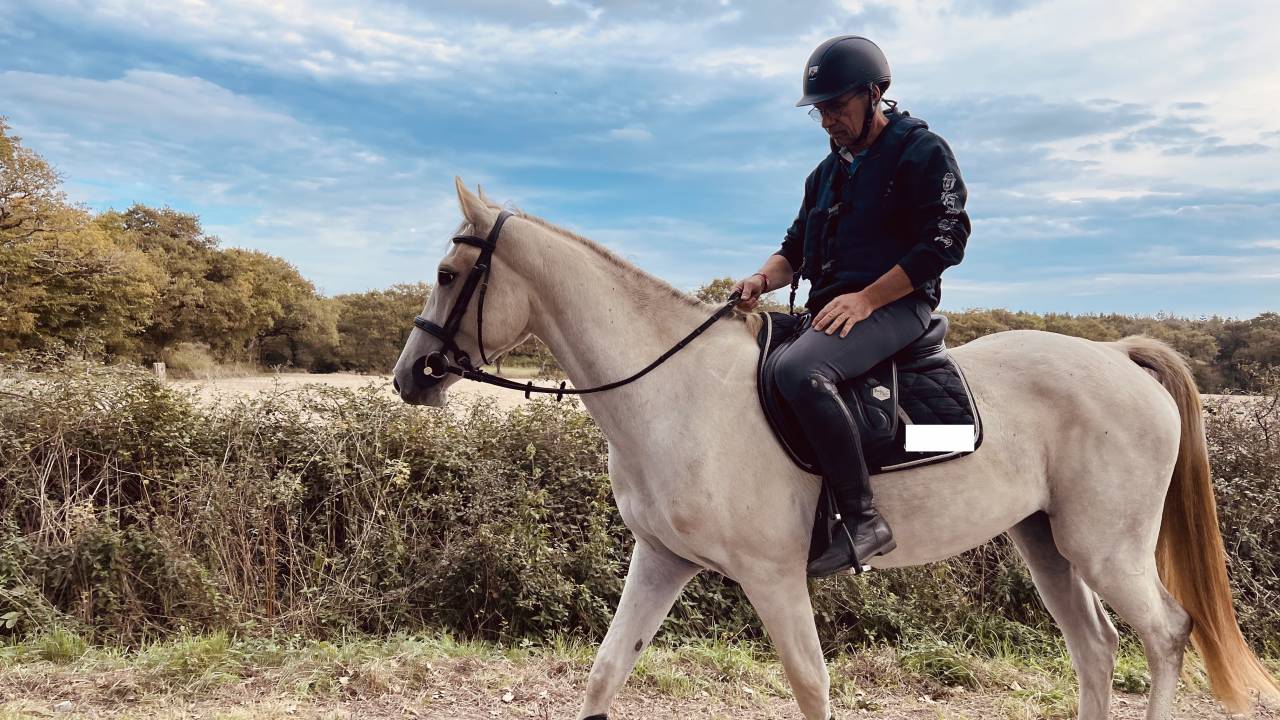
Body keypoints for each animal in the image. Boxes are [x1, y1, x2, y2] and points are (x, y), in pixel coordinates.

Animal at [392, 178, 1278, 720]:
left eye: (447, 273)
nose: (409, 377)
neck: (676, 390)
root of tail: (1120, 358)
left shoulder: (775, 577)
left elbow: (810, 685)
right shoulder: (662, 560)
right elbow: (607, 671)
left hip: (1105, 547)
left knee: (1166, 636)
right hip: (1047, 543)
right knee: (1095, 649)